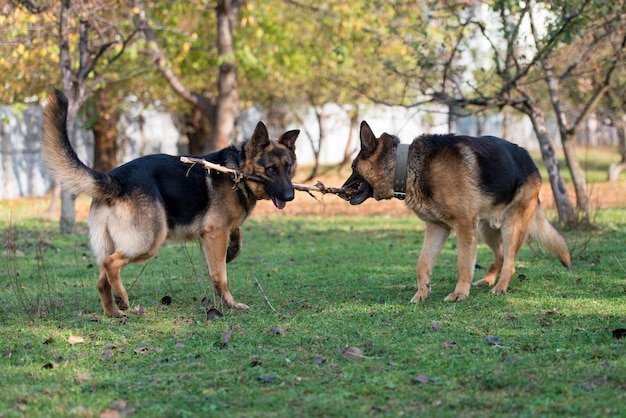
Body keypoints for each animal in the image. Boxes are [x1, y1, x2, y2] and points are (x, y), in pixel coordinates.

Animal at [42, 89, 298, 316]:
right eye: (271, 169)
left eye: (288, 167)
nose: (290, 196)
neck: (238, 168)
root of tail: (116, 180)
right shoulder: (215, 233)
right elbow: (220, 276)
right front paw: (230, 304)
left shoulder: (219, 230)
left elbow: (238, 236)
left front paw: (232, 251)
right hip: (148, 241)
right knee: (110, 263)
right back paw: (122, 298)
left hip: (115, 243)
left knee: (101, 280)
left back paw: (114, 311)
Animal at [342, 121, 572, 304]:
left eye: (353, 167)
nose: (341, 189)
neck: (407, 166)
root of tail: (531, 162)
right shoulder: (437, 228)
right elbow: (422, 263)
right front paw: (422, 293)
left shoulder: (463, 226)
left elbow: (463, 264)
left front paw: (460, 294)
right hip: (485, 230)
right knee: (499, 255)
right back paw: (487, 280)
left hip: (510, 228)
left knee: (510, 262)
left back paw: (500, 287)